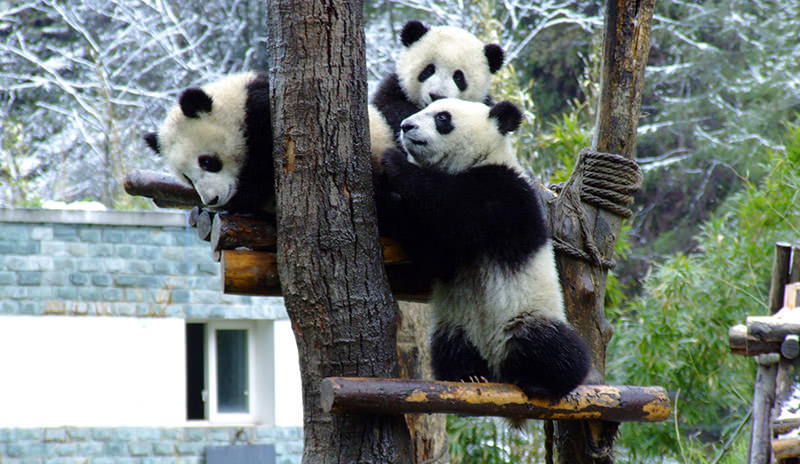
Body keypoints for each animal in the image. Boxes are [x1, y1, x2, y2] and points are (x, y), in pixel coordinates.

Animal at [375, 98, 591, 400]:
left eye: (442, 118)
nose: (407, 126)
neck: (481, 157)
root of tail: (498, 365)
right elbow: (434, 251)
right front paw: (385, 200)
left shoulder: (506, 192)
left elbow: (452, 211)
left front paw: (394, 162)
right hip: (456, 326)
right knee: (449, 351)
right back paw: (468, 375)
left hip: (528, 313)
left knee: (558, 348)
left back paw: (542, 383)